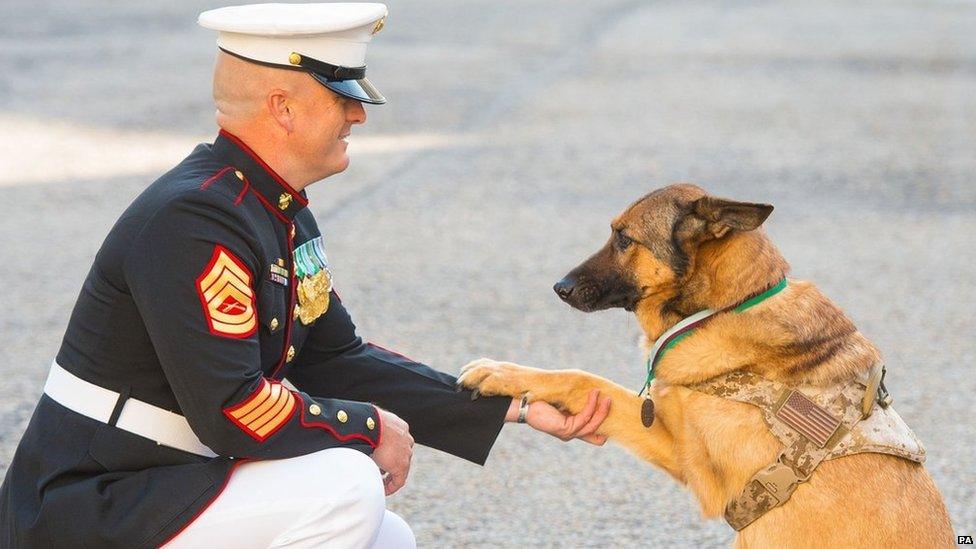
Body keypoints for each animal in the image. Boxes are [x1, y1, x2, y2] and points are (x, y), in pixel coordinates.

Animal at [460, 183, 952, 544]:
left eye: (624, 238)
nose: (559, 287)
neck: (726, 308)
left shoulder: (698, 469)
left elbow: (583, 377)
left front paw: (499, 373)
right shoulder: (668, 437)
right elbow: (589, 382)